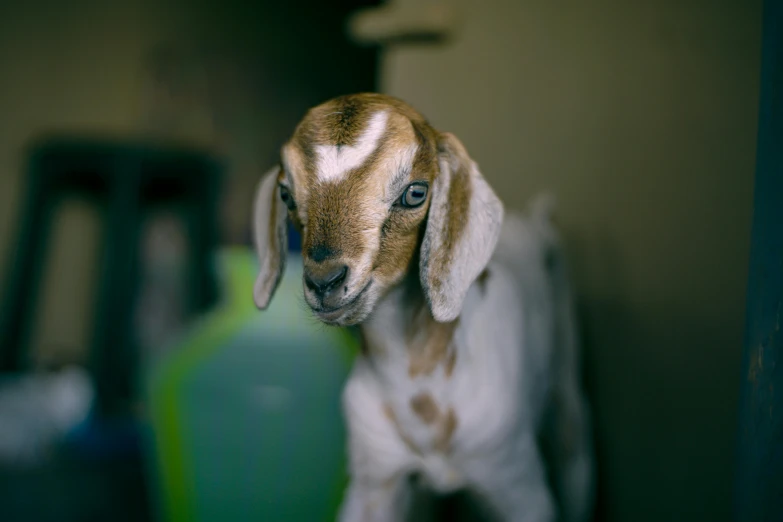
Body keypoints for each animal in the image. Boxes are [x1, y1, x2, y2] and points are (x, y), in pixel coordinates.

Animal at [251, 93, 596, 520]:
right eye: (286, 195)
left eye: (415, 192)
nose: (324, 281)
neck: (421, 395)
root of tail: (536, 218)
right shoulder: (375, 481)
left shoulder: (518, 486)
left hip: (567, 390)